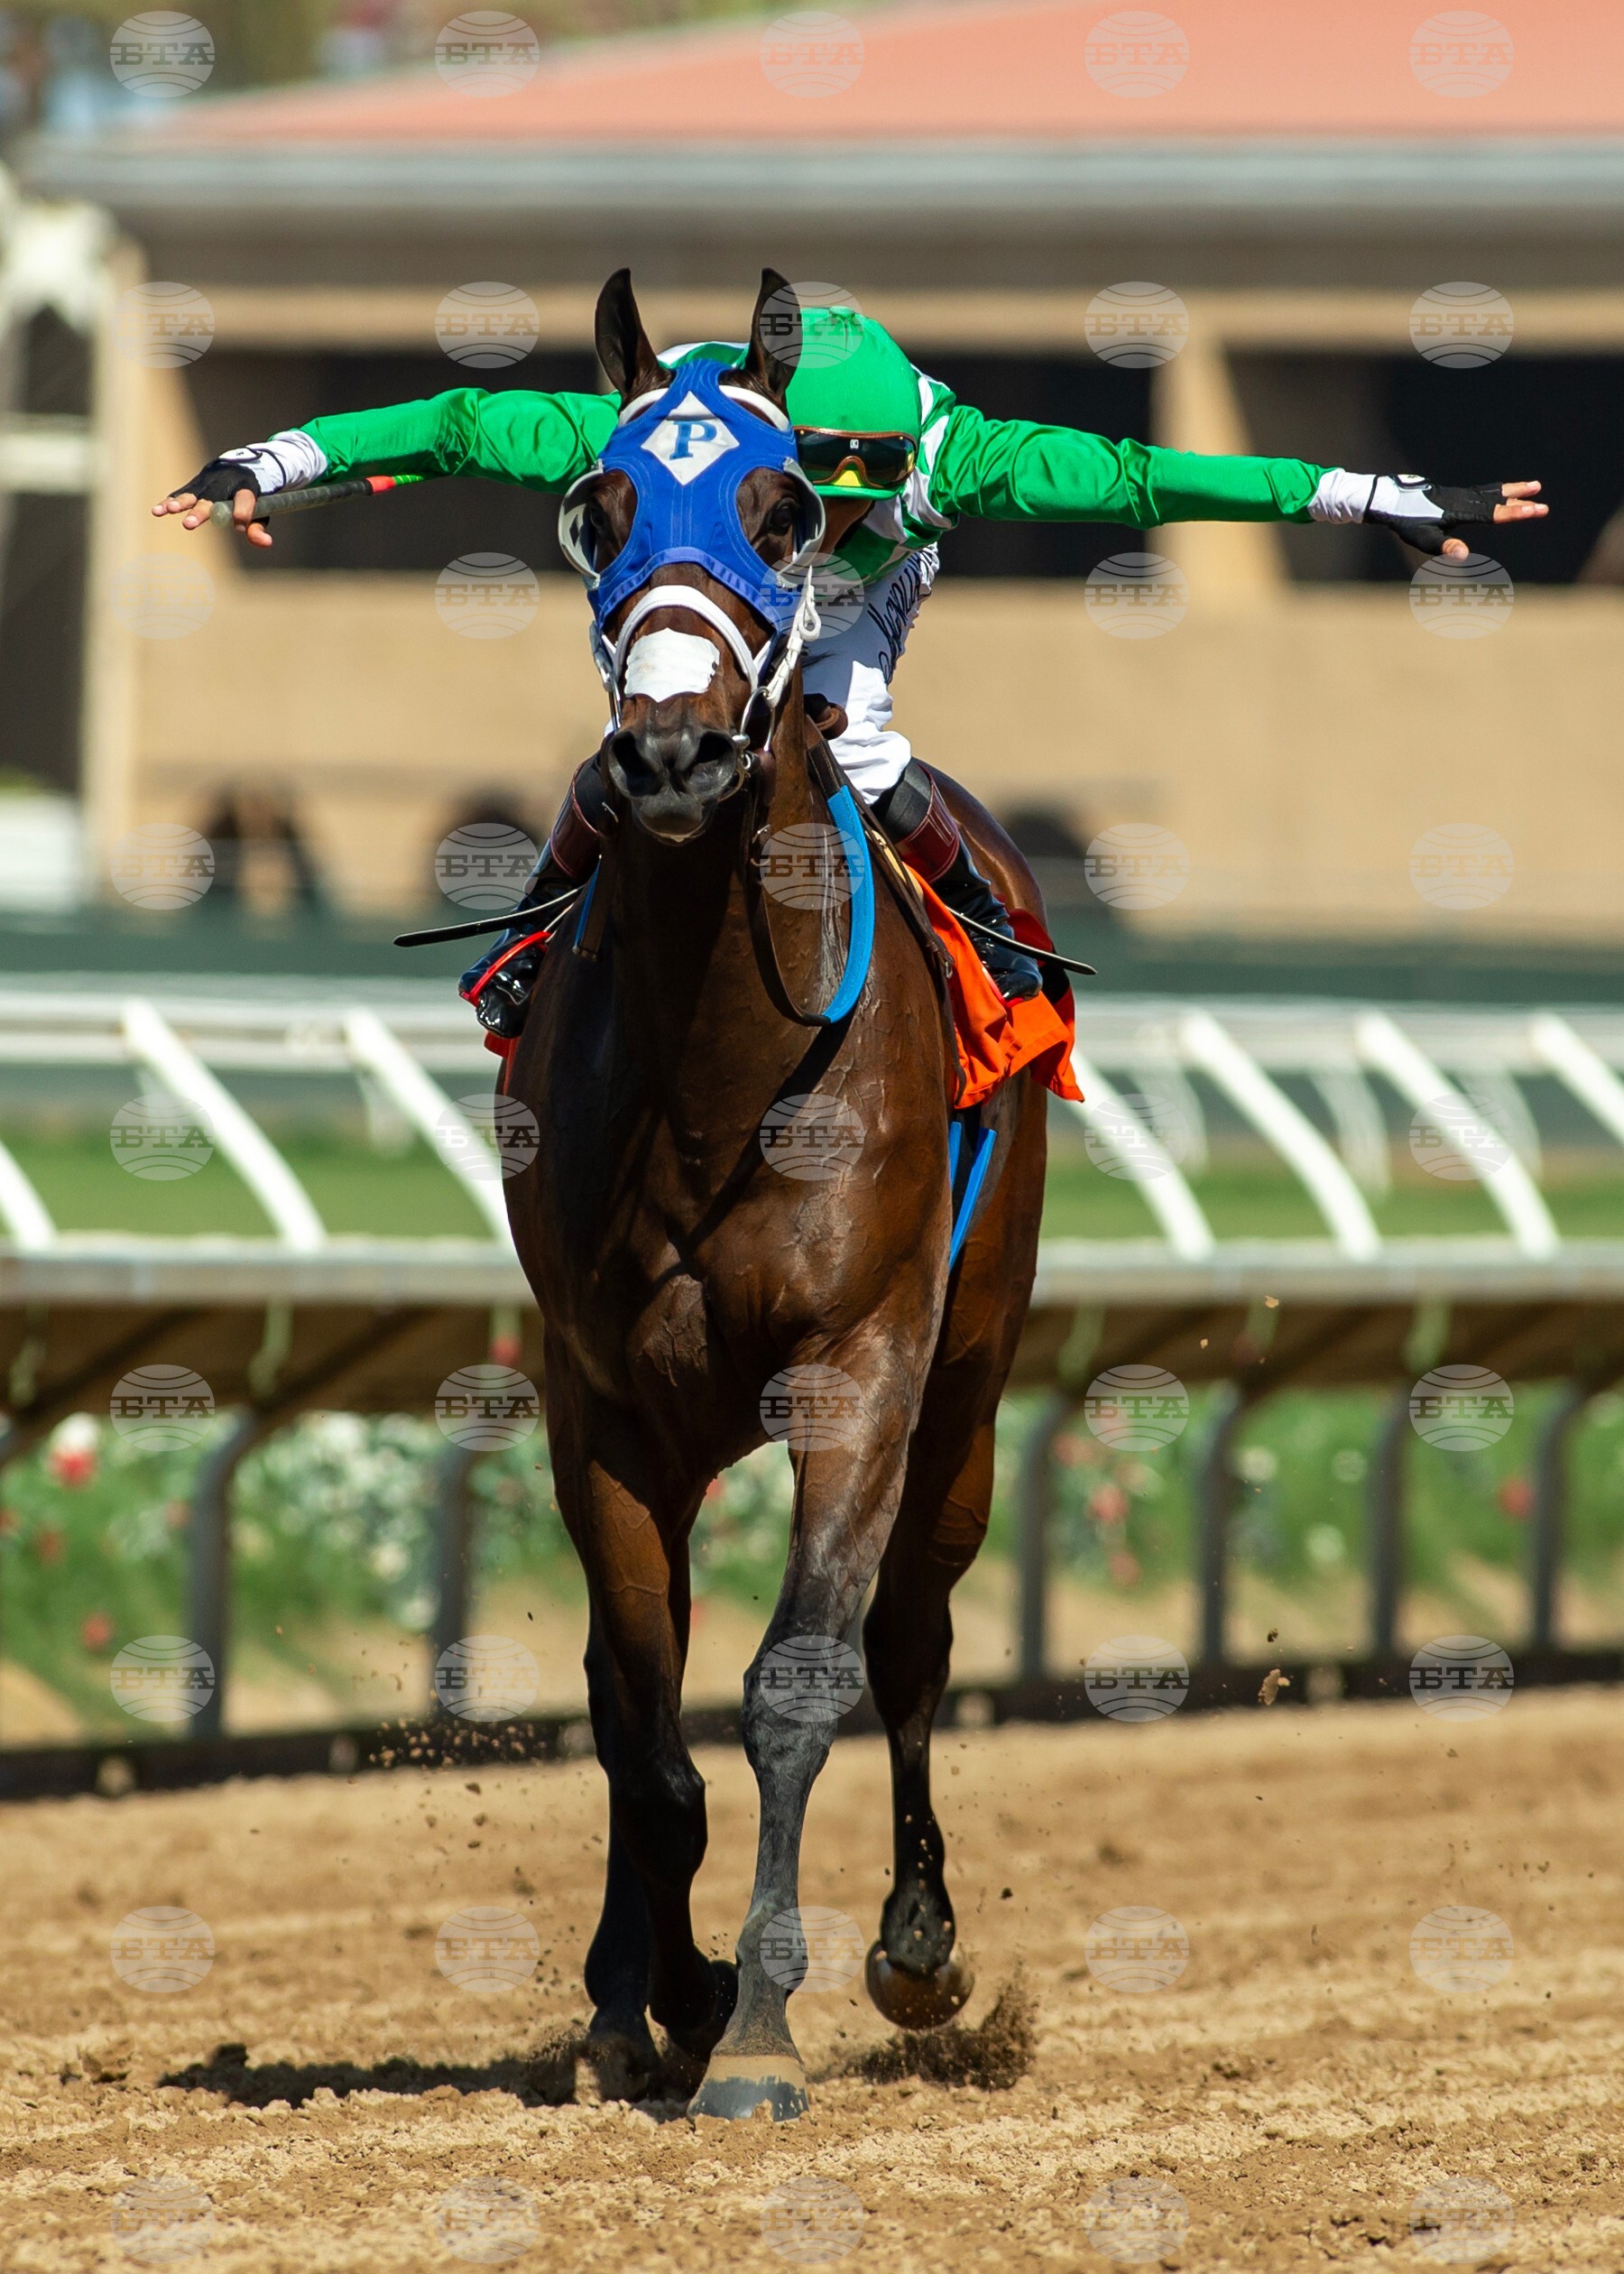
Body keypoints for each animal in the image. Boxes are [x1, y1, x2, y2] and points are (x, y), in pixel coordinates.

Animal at [505, 268, 1051, 2121]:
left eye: (784, 508)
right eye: (597, 506)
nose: (670, 757)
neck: (717, 1078)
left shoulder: (860, 1368)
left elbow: (798, 1682)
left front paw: (755, 2026)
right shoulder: (599, 1398)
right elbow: (639, 1712)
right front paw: (647, 1992)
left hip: (971, 1385)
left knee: (914, 1639)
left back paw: (916, 1950)